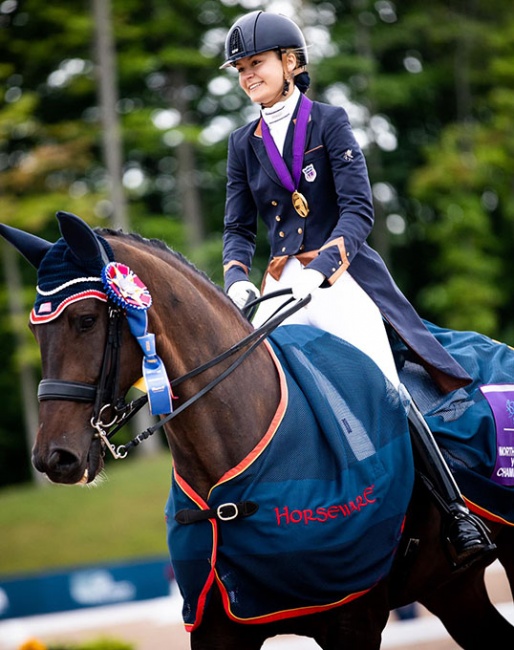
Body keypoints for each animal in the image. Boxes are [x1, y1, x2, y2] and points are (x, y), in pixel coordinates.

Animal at [1, 210, 512, 644]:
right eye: (34, 331)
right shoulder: (217, 625)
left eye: (86, 320)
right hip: (451, 588)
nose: (54, 458)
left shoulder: (354, 620)